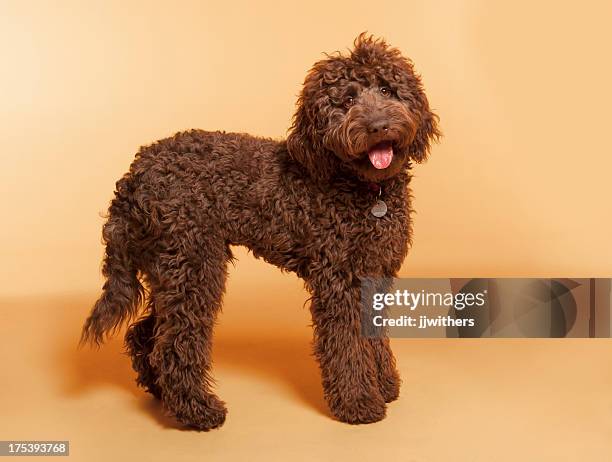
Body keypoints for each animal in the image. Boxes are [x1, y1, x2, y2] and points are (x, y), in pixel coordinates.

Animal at [83, 34, 440, 432]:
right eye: (347, 101)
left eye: (387, 89)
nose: (378, 125)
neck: (365, 189)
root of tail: (135, 174)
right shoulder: (338, 279)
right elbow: (346, 343)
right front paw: (358, 402)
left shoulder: (377, 274)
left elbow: (373, 335)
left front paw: (384, 384)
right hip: (194, 264)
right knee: (174, 344)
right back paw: (197, 410)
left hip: (168, 269)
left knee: (148, 334)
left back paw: (162, 394)